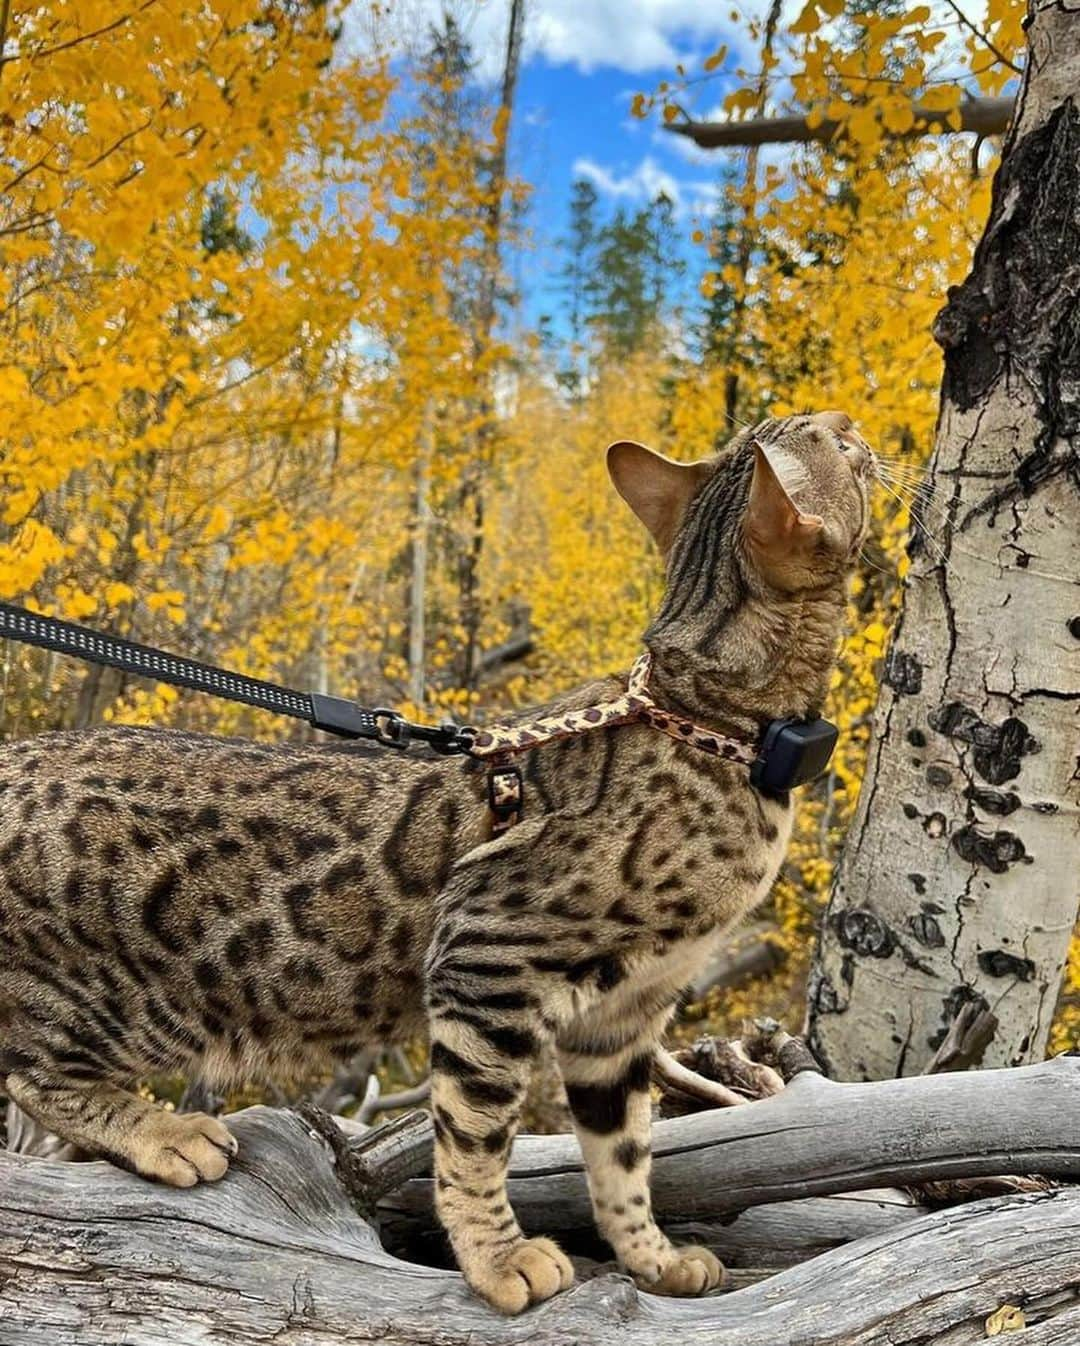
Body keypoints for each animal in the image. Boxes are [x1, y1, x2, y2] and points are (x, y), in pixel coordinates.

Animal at [0, 411, 872, 1313]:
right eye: (837, 445)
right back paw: (167, 1132)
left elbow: (624, 1153)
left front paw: (652, 1259)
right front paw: (497, 1259)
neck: (715, 729)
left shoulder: (623, 1017)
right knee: (32, 1076)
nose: (853, 424)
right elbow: (477, 1135)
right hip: (135, 1004)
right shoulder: (487, 957)